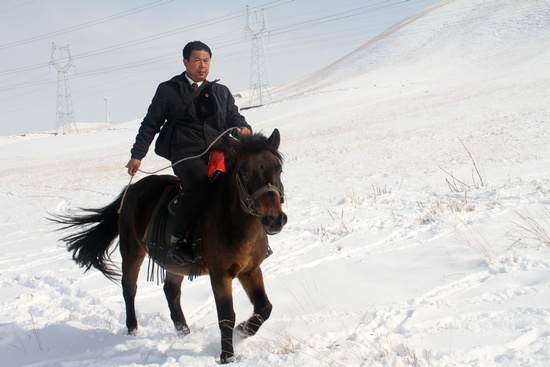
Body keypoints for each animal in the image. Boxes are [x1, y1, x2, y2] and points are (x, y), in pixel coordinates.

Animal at [55, 129, 288, 362]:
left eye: (278, 169)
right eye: (244, 173)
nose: (274, 220)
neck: (235, 221)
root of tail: (132, 190)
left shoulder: (250, 270)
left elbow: (265, 307)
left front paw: (244, 330)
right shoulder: (220, 275)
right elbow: (226, 316)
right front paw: (227, 357)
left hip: (174, 265)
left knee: (171, 291)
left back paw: (183, 331)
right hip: (131, 252)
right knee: (129, 287)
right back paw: (133, 328)